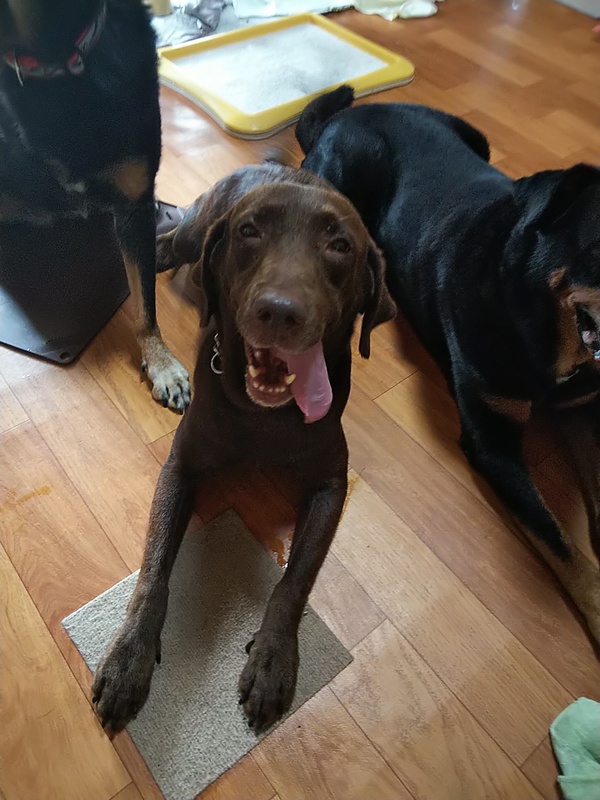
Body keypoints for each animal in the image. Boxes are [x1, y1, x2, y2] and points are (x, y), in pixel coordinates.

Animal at [91, 162, 396, 733]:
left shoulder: (331, 484)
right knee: (163, 245)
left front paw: (273, 660)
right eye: (250, 231)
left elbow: (294, 581)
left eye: (340, 245)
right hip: (194, 232)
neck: (265, 416)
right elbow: (153, 574)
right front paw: (128, 658)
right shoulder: (181, 468)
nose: (279, 312)